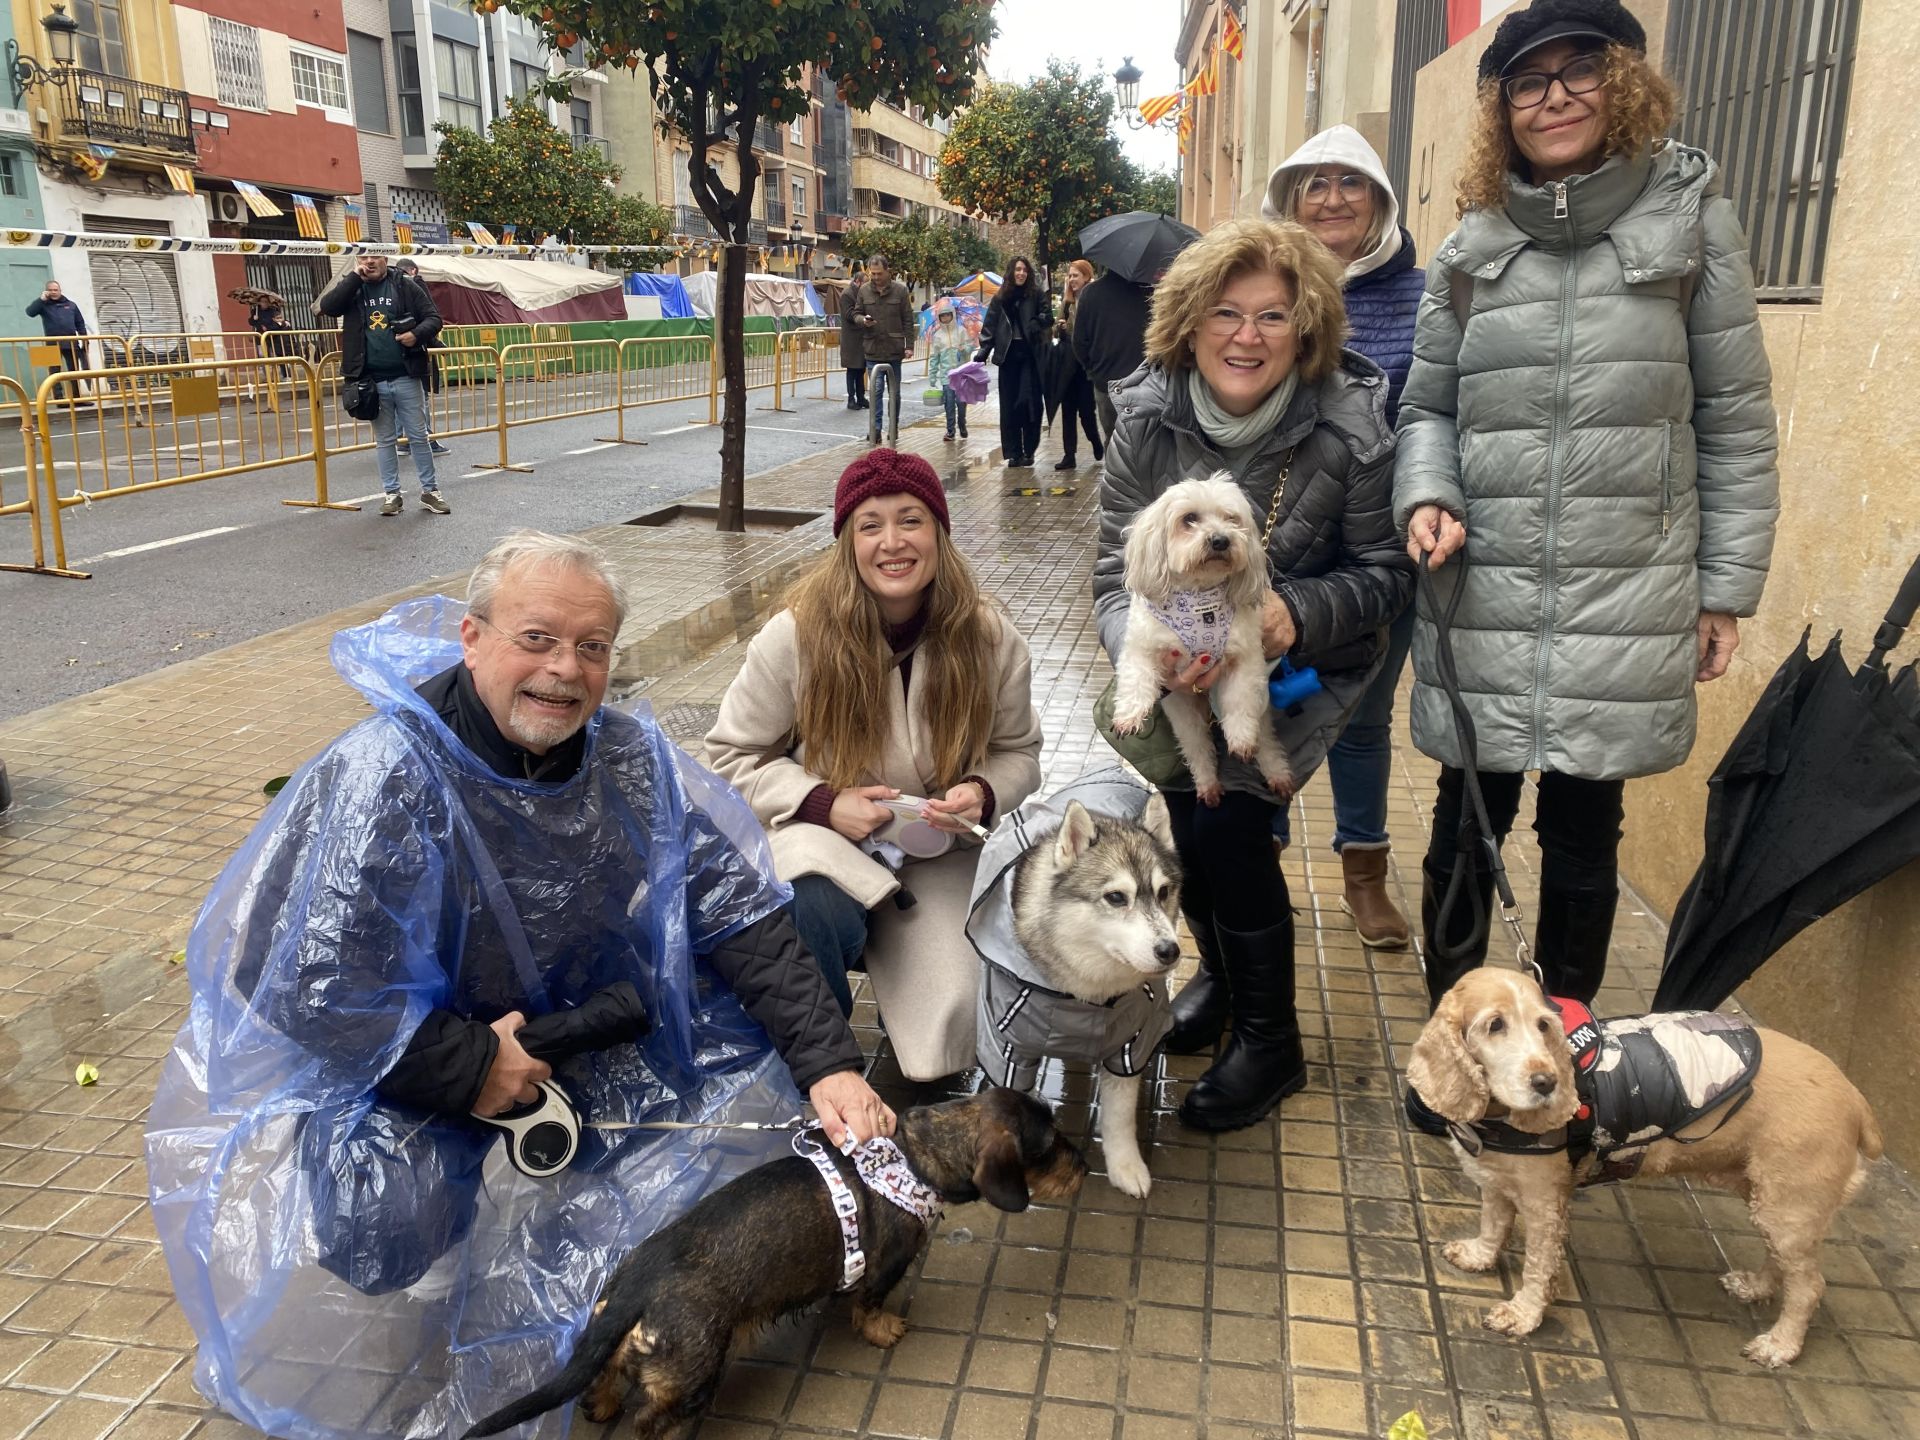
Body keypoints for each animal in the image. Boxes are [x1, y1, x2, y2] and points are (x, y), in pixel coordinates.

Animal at [975, 779, 1182, 1205]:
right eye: (1116, 897)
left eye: (1164, 891)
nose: (1170, 951)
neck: (1085, 995)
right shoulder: (1006, 1047)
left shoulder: (1131, 1043)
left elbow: (1119, 1116)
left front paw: (1126, 1166)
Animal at [1113, 476, 1290, 806]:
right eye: (1189, 519)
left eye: (1231, 518)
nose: (1220, 540)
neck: (1199, 602)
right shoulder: (1142, 647)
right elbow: (1136, 679)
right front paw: (1129, 715)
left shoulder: (1244, 661)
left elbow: (1239, 702)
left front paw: (1240, 737)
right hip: (1183, 712)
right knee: (1197, 747)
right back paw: (1207, 784)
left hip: (1258, 707)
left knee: (1267, 740)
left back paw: (1276, 773)